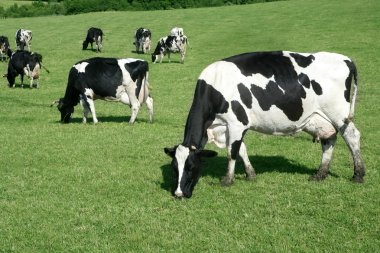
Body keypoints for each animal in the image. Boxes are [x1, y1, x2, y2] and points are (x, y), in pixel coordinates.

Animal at [164, 51, 366, 198]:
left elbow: (232, 152)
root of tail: (345, 58)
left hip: (339, 114)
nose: (179, 194)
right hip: (322, 119)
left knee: (352, 136)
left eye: (191, 167)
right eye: (174, 168)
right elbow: (242, 150)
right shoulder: (229, 127)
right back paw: (320, 174)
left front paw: (228, 180)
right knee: (329, 140)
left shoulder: (236, 123)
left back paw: (358, 174)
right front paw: (250, 174)